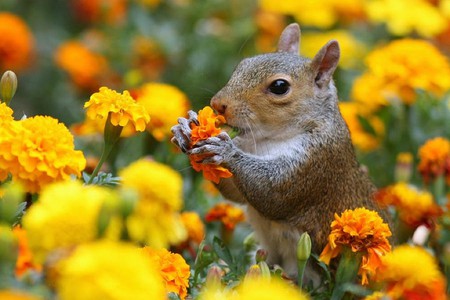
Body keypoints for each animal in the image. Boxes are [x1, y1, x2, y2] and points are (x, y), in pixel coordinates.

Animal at [171, 24, 388, 284]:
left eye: (279, 87)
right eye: (242, 64)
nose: (217, 104)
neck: (268, 139)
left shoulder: (313, 163)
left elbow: (272, 193)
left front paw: (225, 150)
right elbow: (237, 194)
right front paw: (185, 128)